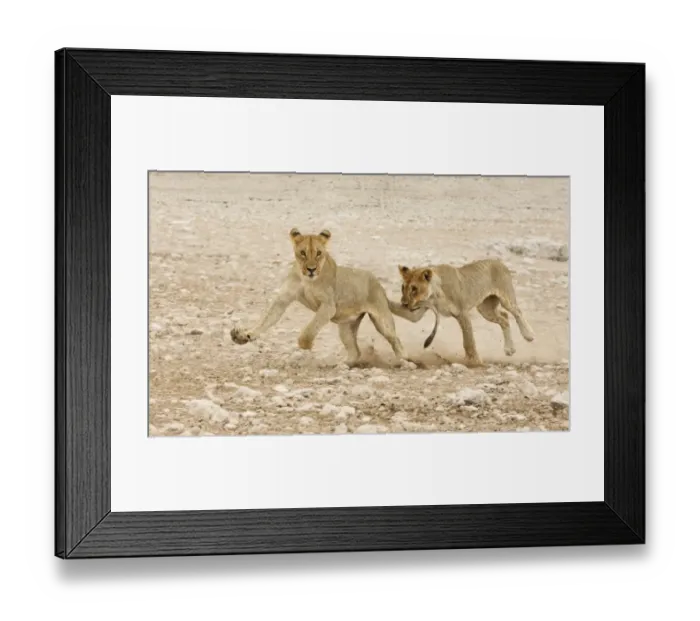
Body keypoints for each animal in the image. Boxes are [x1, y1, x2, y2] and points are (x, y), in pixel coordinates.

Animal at [230, 228, 410, 367]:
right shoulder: (283, 299)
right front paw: (244, 335)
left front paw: (306, 344)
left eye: (318, 253)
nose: (311, 269)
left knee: (396, 341)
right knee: (355, 351)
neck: (307, 279)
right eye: (302, 253)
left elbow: (311, 327)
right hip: (346, 327)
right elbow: (266, 320)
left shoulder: (328, 306)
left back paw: (405, 362)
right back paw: (341, 365)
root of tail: (379, 285)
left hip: (382, 321)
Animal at [389, 259, 535, 367]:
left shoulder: (462, 313)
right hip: (485, 309)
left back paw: (528, 335)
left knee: (517, 312)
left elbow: (468, 341)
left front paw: (475, 362)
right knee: (504, 317)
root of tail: (499, 261)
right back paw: (509, 349)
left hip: (506, 298)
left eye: (414, 288)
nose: (404, 303)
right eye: (403, 287)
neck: (435, 294)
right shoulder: (418, 311)